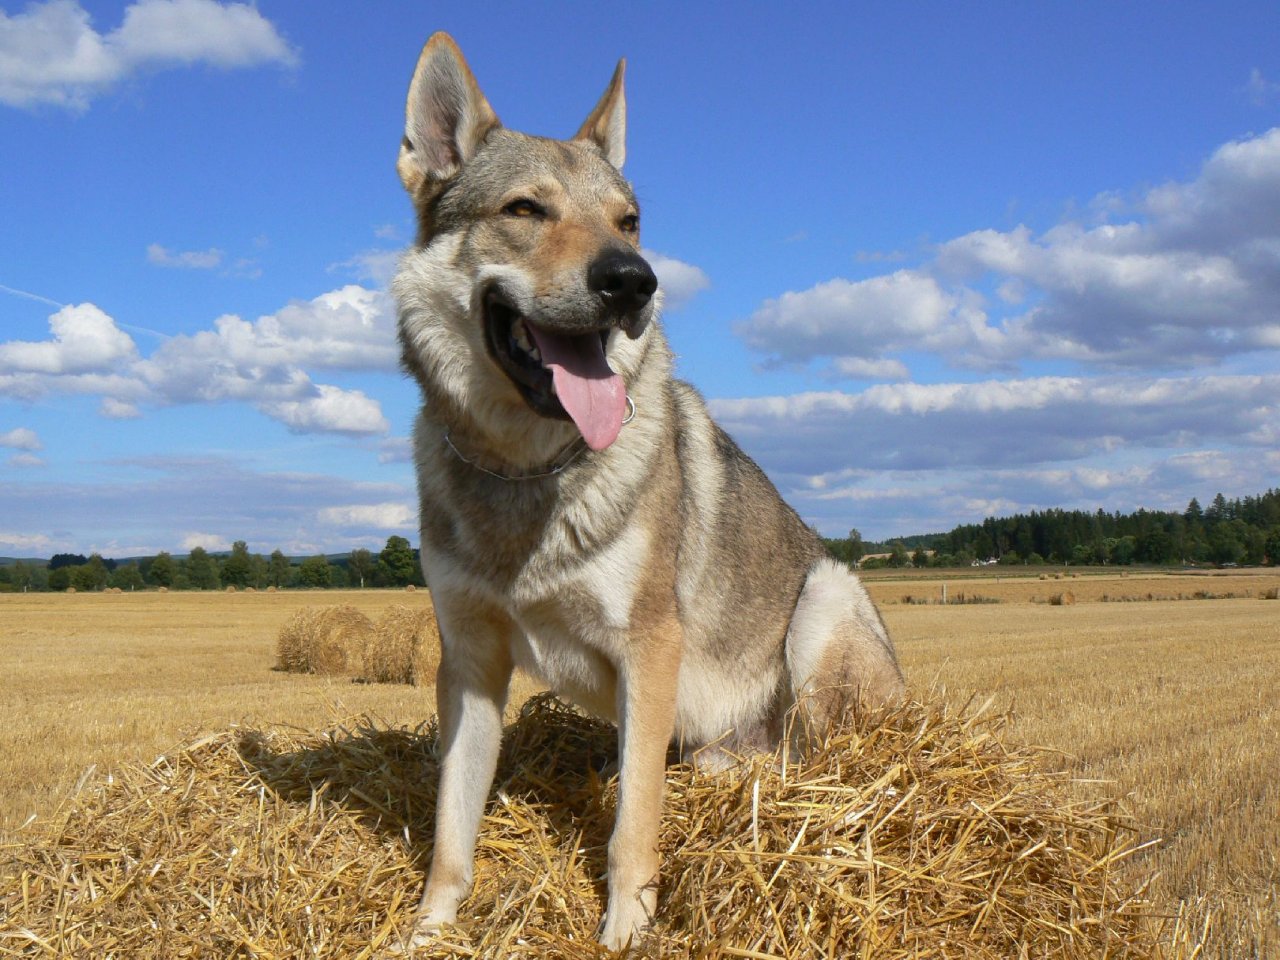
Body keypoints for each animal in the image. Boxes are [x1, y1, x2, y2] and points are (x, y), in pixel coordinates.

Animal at [389, 32, 901, 957]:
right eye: (526, 209)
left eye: (629, 221)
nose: (635, 280)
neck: (527, 473)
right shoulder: (470, 664)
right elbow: (451, 830)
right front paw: (428, 932)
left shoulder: (650, 651)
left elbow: (633, 826)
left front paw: (626, 929)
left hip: (824, 599)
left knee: (826, 767)